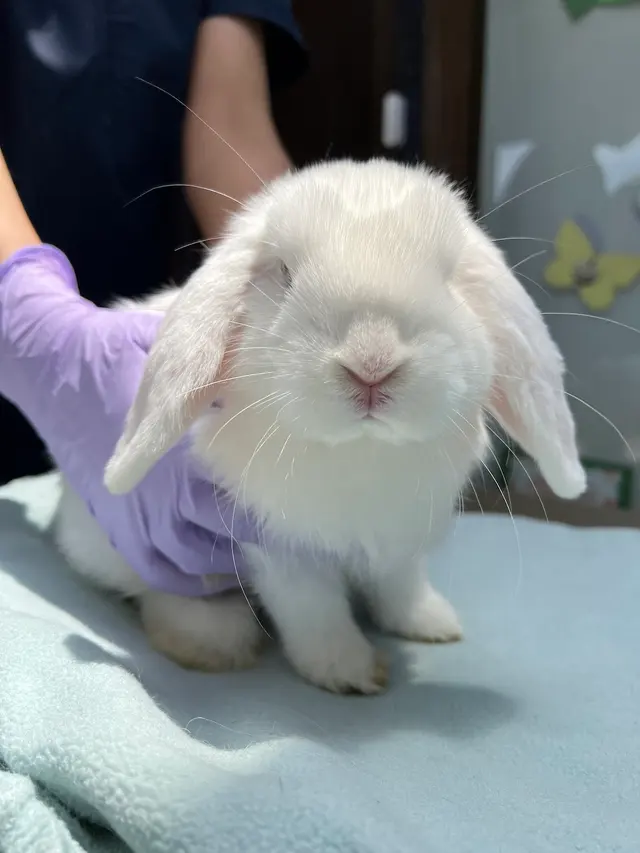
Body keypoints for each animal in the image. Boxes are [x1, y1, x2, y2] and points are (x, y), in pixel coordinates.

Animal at [54, 158, 586, 694]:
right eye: (285, 274)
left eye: (450, 277)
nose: (372, 362)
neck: (363, 451)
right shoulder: (278, 548)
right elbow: (314, 611)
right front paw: (350, 671)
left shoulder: (402, 538)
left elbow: (400, 586)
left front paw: (431, 623)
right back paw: (209, 641)